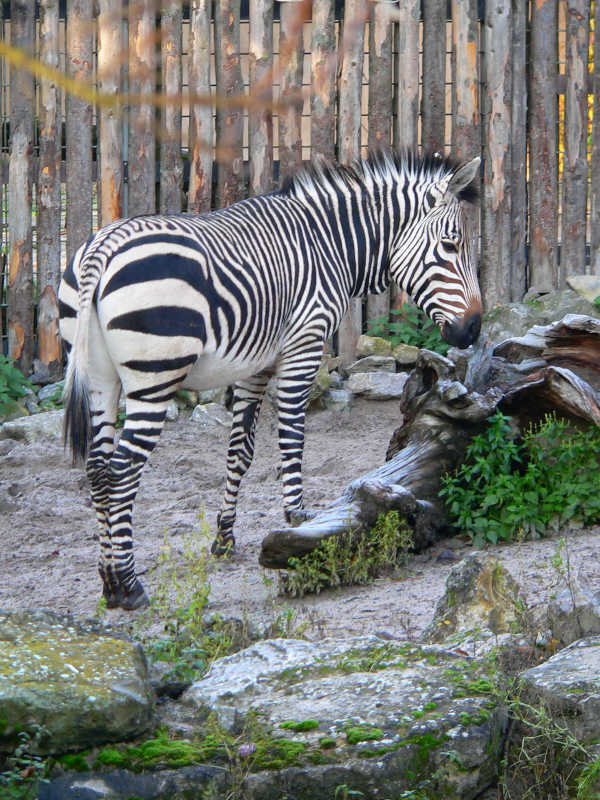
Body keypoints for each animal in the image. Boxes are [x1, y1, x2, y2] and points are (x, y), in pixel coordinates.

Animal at [58, 152, 482, 612]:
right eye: (451, 246)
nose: (474, 330)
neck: (329, 243)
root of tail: (103, 245)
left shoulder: (255, 366)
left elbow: (239, 453)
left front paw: (224, 539)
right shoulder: (303, 346)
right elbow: (292, 439)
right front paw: (298, 521)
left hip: (100, 378)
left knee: (99, 469)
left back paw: (107, 583)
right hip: (154, 378)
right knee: (122, 471)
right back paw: (128, 585)